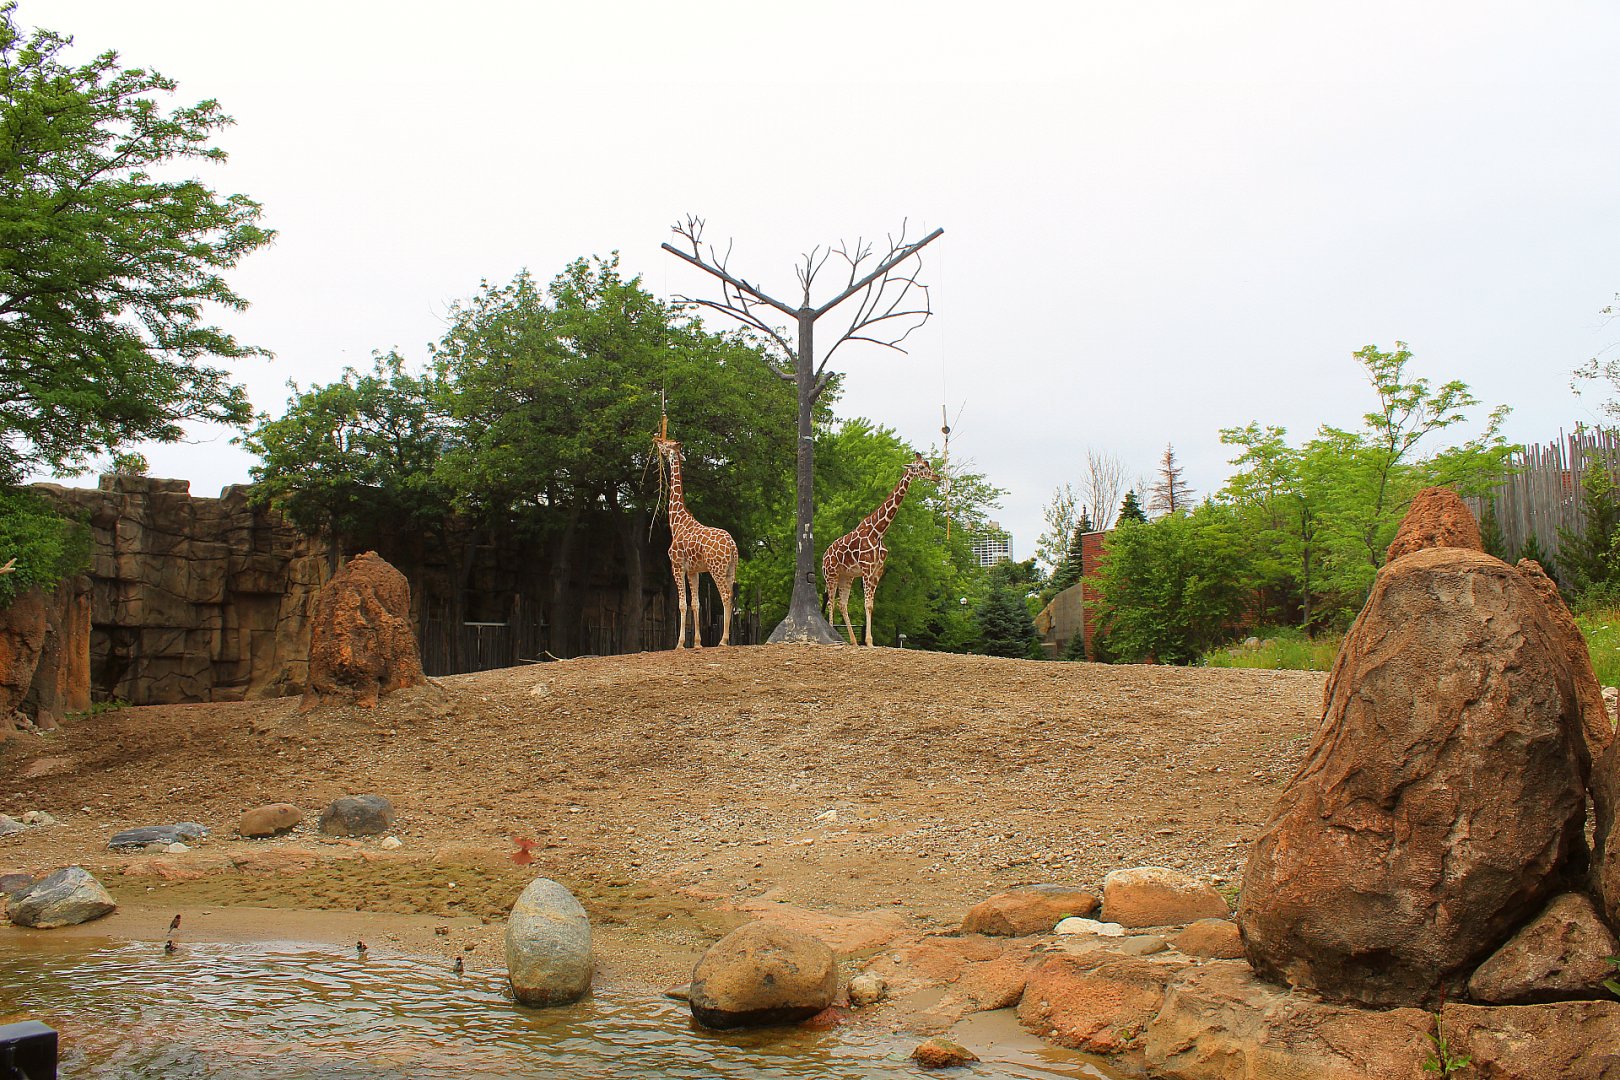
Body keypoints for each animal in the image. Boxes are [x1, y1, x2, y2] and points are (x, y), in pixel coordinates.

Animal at [653, 435, 739, 649]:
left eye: (667, 444)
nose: (657, 439)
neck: (676, 522)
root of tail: (733, 546)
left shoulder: (677, 566)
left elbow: (682, 604)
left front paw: (679, 644)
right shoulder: (694, 570)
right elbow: (696, 604)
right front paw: (698, 643)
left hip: (717, 568)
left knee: (726, 596)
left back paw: (723, 640)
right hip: (731, 569)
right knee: (732, 597)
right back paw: (727, 639)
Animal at [823, 452, 941, 646]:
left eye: (928, 464)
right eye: (921, 467)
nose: (936, 477)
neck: (878, 531)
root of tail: (824, 555)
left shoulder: (878, 570)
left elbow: (871, 605)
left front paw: (869, 642)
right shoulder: (867, 569)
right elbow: (866, 604)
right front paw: (869, 641)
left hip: (846, 576)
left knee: (842, 603)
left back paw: (853, 641)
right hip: (831, 574)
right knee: (830, 602)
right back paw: (834, 636)